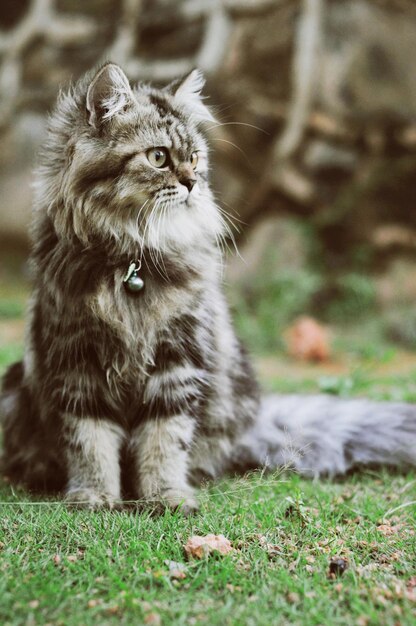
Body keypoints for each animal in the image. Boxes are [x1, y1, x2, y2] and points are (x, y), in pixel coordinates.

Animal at [0, 63, 416, 510]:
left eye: (196, 158)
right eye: (159, 157)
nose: (192, 183)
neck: (131, 257)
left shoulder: (178, 359)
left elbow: (164, 440)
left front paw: (166, 497)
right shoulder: (76, 360)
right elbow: (90, 443)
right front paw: (94, 497)